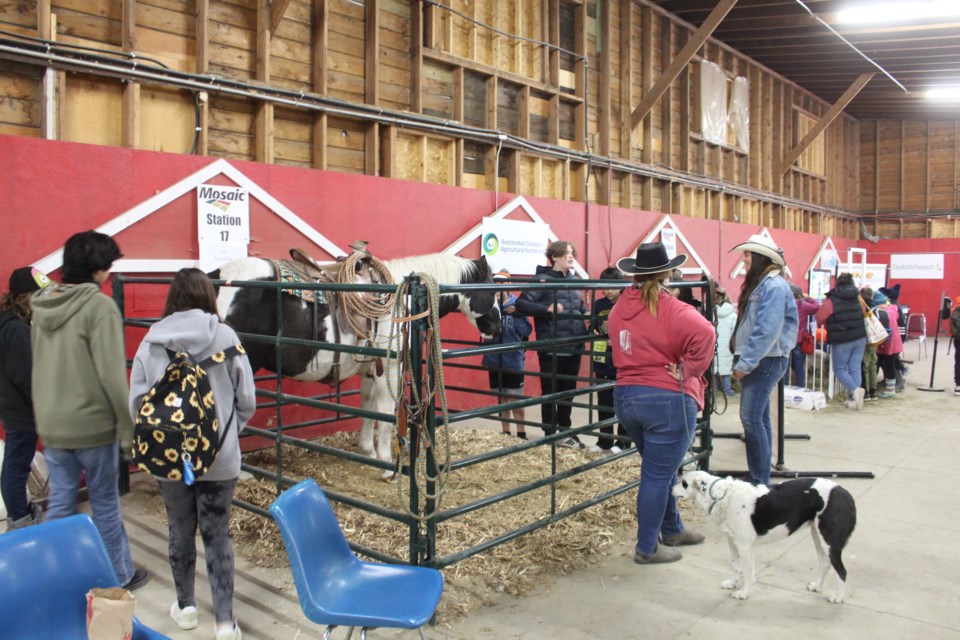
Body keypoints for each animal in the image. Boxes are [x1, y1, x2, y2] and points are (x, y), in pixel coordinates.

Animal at [208, 252, 502, 478]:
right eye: (490, 290)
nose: (497, 327)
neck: (405, 301)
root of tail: (216, 277)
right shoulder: (390, 369)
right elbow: (386, 416)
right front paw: (387, 465)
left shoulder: (371, 371)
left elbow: (367, 408)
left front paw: (368, 451)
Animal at [676, 468, 856, 604]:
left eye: (684, 483)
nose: (671, 487)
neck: (724, 496)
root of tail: (845, 493)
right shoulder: (733, 542)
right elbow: (736, 566)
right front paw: (732, 583)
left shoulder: (744, 545)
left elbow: (746, 572)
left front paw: (744, 593)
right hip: (818, 538)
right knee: (825, 564)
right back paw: (817, 586)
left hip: (830, 541)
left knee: (842, 571)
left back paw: (838, 597)